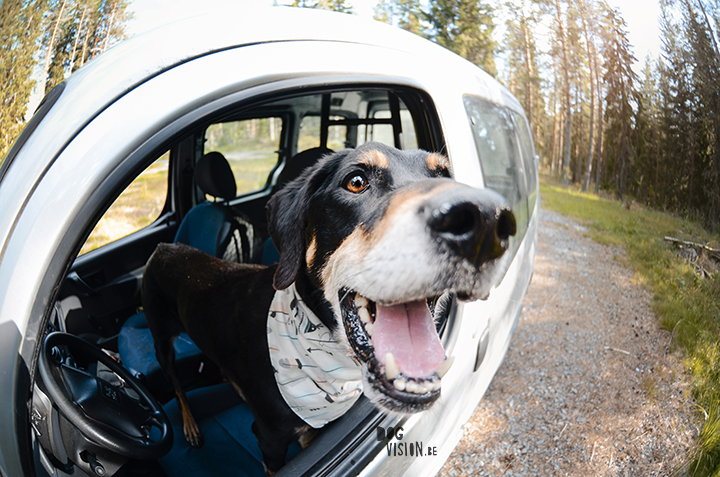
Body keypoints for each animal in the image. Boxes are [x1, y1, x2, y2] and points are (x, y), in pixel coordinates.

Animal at [143, 141, 516, 472]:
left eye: (445, 175)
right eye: (356, 181)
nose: (487, 221)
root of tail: (164, 246)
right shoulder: (269, 441)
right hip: (160, 337)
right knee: (175, 383)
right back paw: (190, 425)